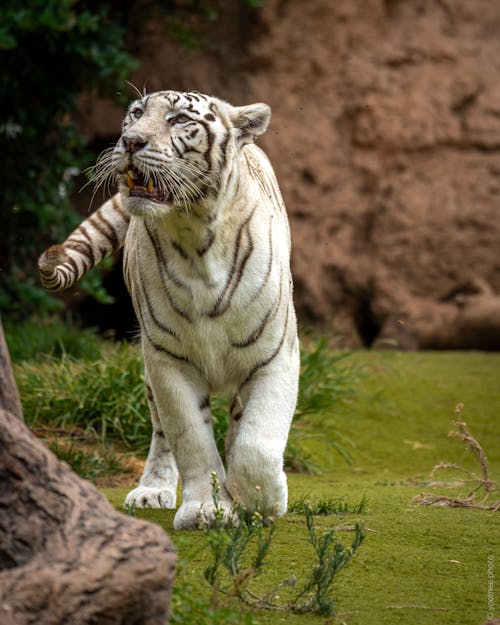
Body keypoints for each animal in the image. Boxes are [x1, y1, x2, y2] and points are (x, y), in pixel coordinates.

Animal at [39, 90, 298, 528]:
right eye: (136, 114)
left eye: (179, 120)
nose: (130, 142)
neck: (196, 239)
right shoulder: (168, 360)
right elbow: (190, 438)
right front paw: (207, 510)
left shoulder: (275, 355)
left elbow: (256, 445)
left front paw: (263, 501)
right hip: (148, 368)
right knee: (162, 433)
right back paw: (152, 490)